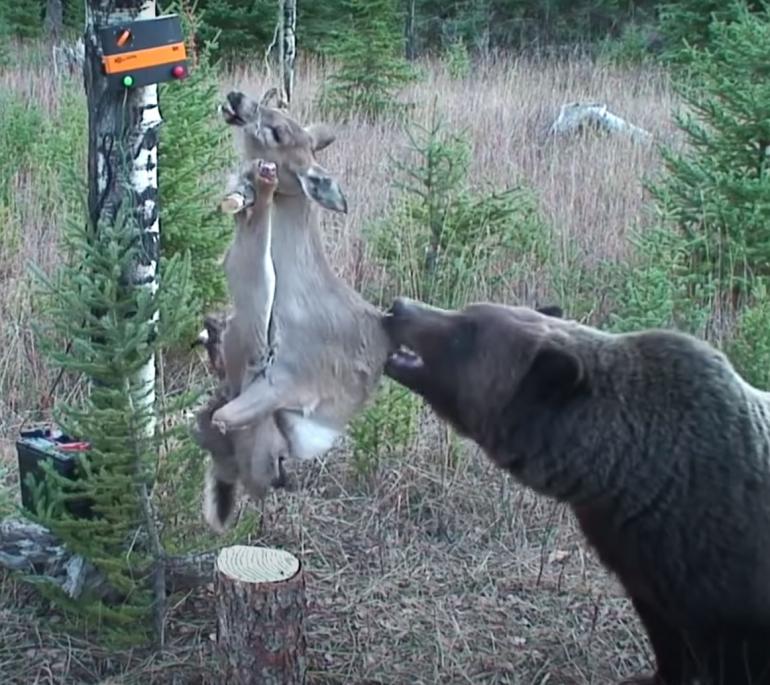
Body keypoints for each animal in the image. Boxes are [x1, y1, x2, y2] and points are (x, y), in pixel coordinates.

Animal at [381, 295, 770, 685]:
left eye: (466, 331)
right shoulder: (644, 569)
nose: (399, 307)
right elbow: (668, 639)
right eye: (469, 310)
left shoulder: (728, 588)